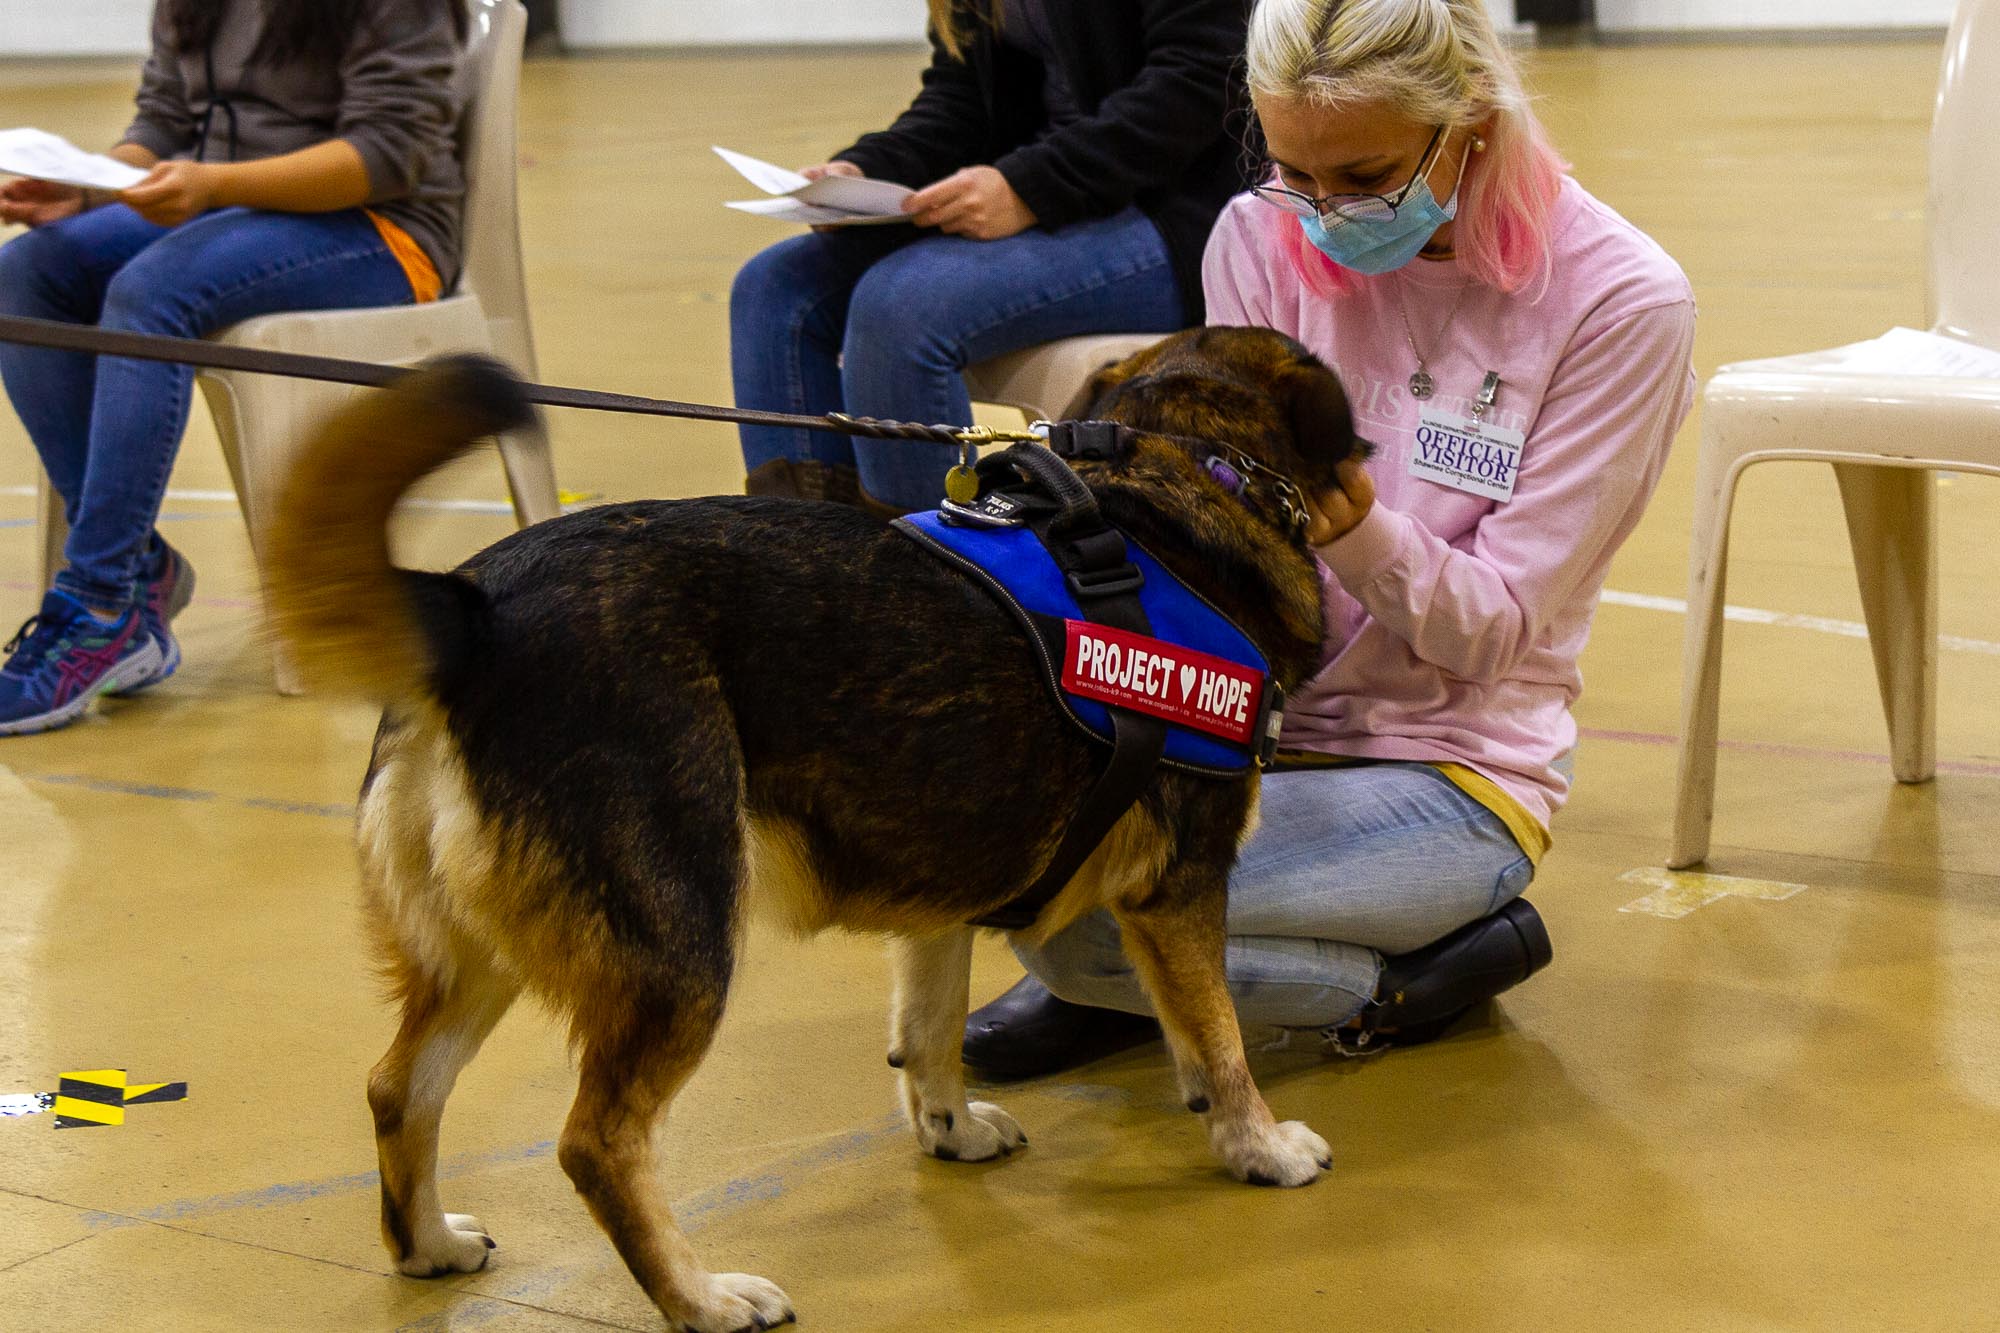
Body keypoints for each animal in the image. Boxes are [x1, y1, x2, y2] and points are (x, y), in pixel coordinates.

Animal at [262, 324, 1360, 1328]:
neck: (1179, 475)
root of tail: (474, 611)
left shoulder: (943, 897)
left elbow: (929, 1032)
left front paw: (949, 1129)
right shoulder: (1180, 887)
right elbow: (1217, 1038)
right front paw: (1256, 1144)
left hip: (480, 953)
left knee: (399, 1087)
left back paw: (428, 1244)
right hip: (679, 949)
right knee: (594, 1142)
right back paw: (698, 1296)